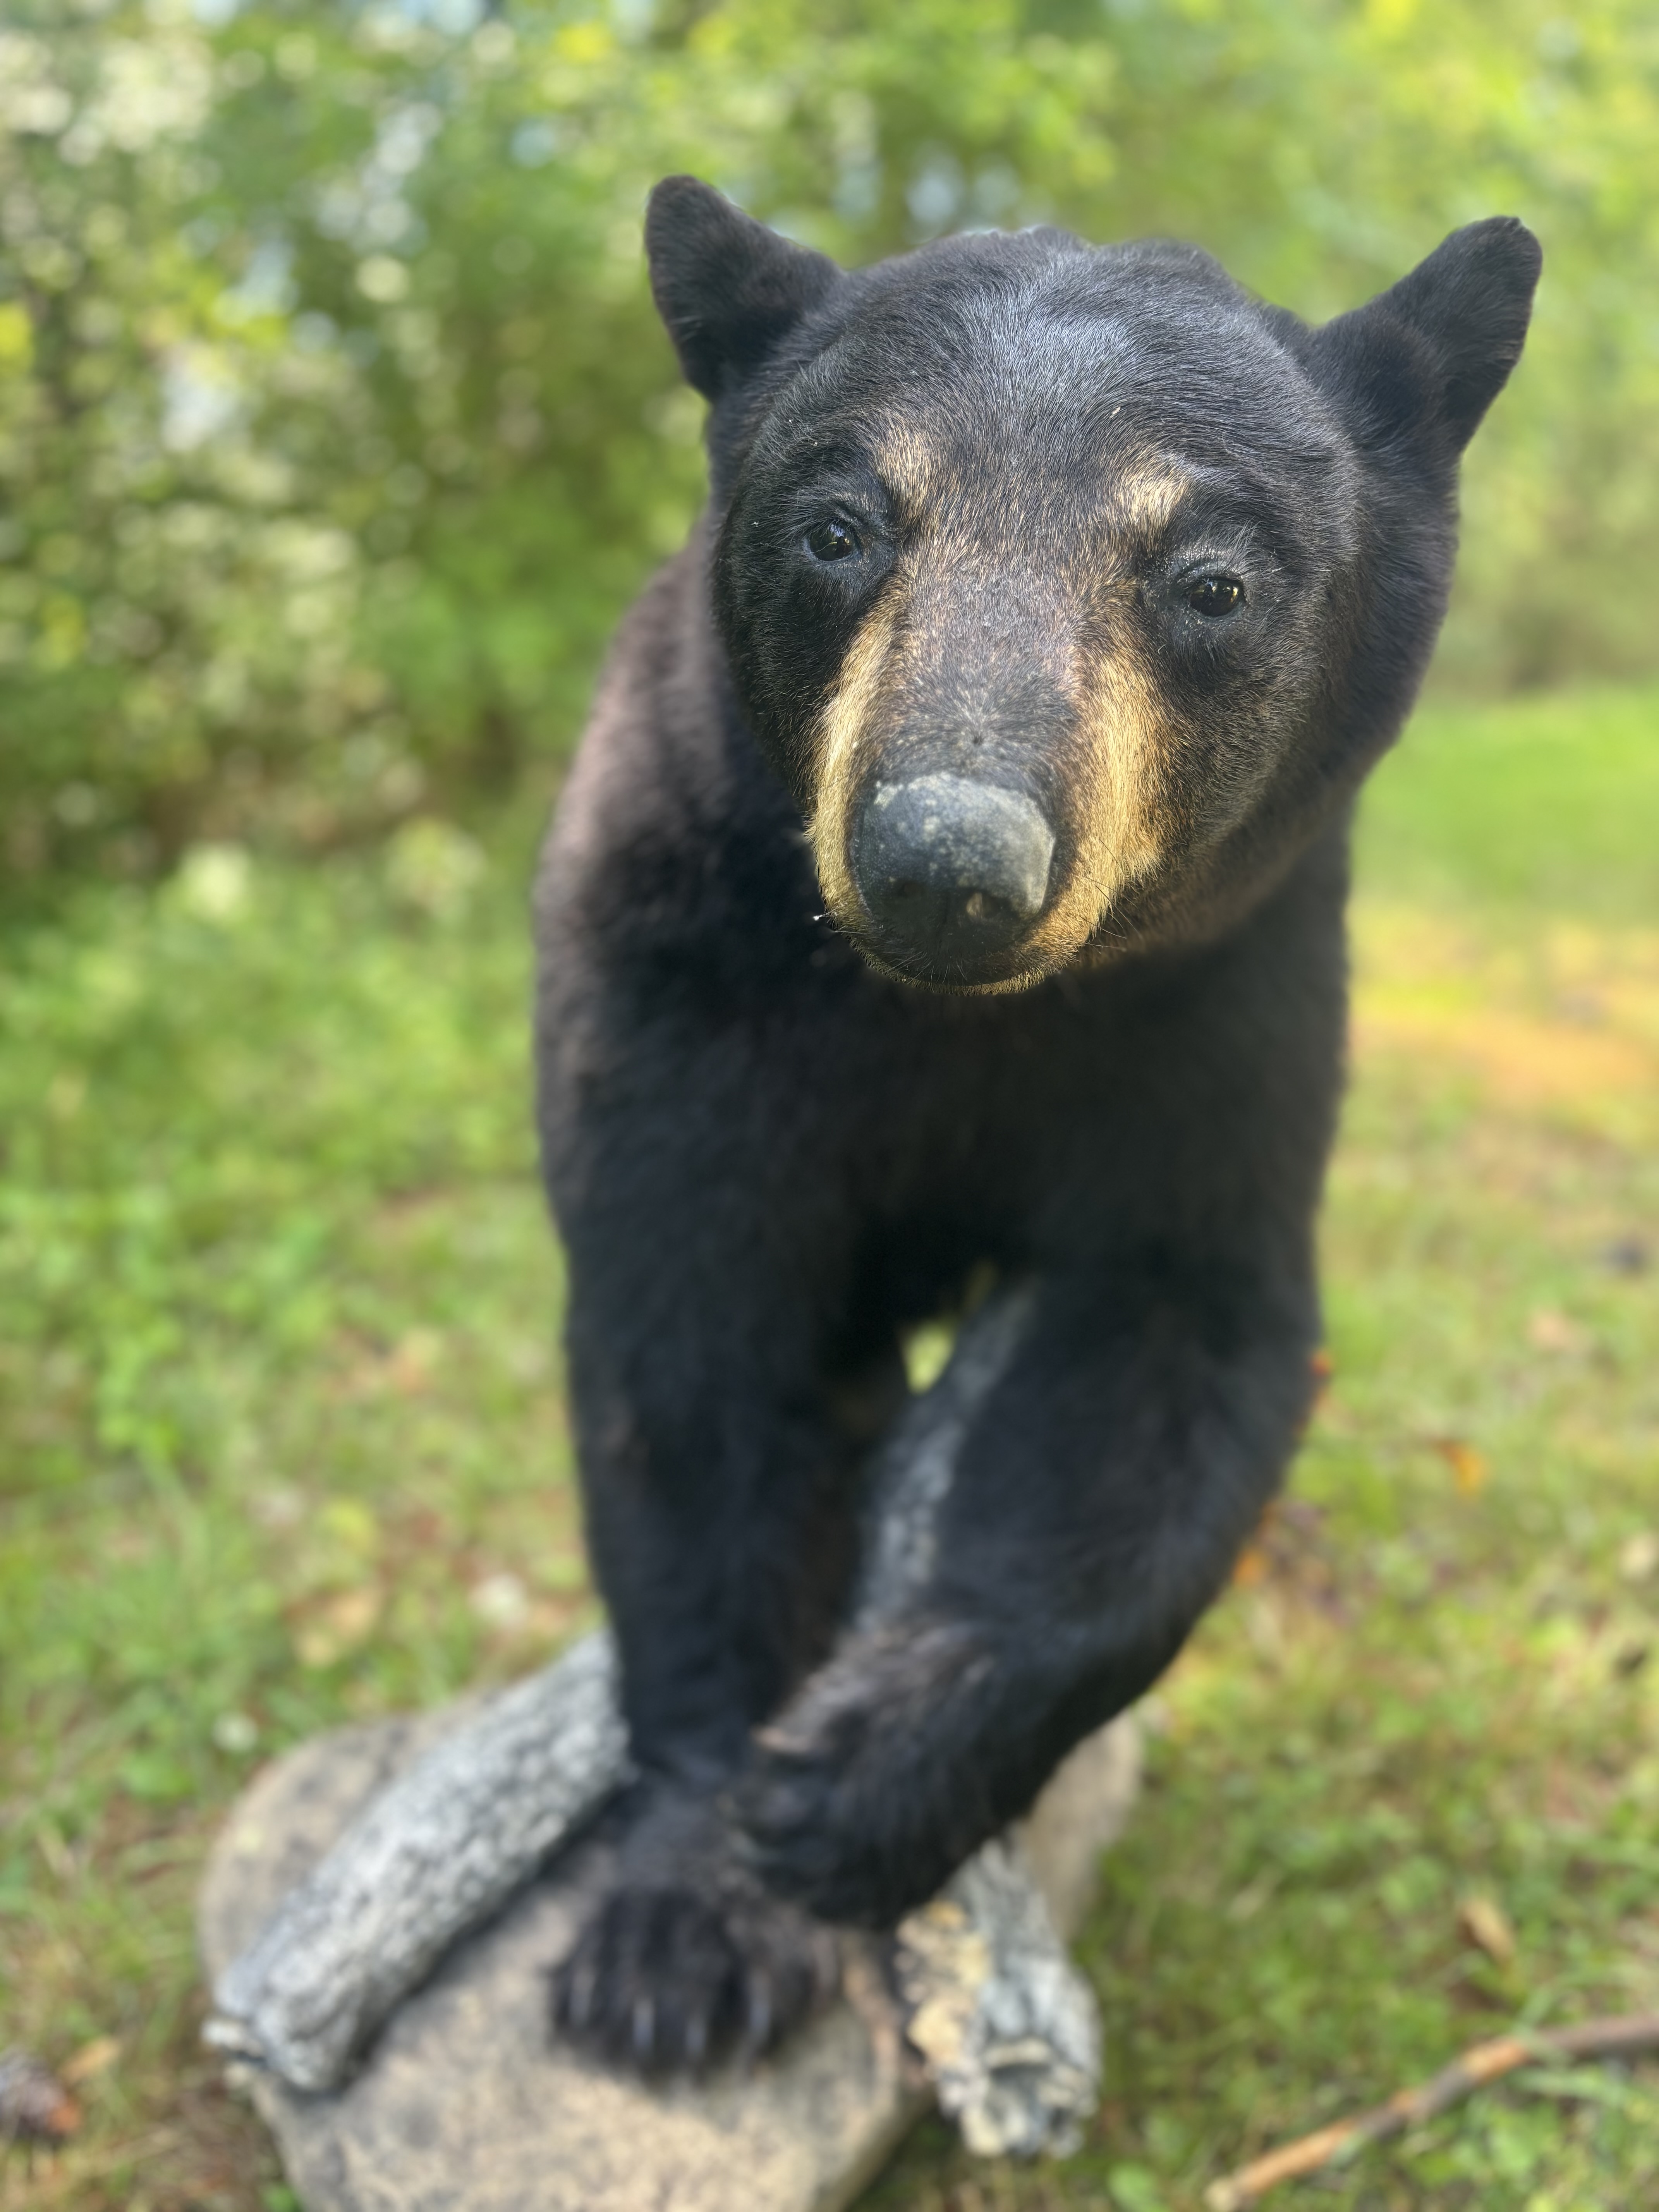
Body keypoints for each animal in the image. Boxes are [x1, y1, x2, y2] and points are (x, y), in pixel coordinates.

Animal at [532, 176, 1540, 2075]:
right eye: (840, 524)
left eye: (1209, 577)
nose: (946, 857)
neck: (948, 1016)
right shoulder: (673, 967)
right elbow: (694, 1361)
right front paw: (682, 1917)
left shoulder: (1226, 1006)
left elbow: (1180, 1348)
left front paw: (858, 1779)